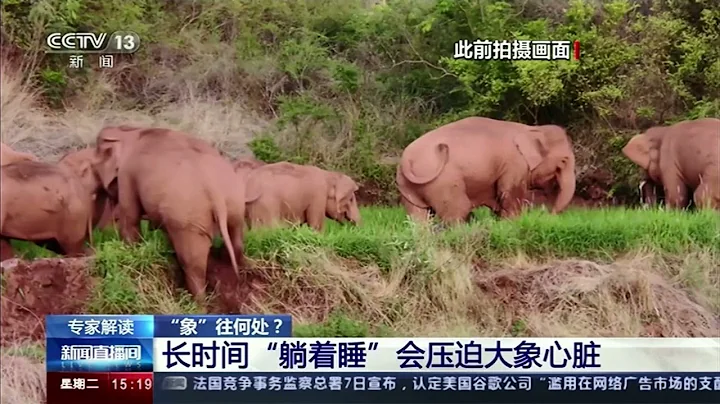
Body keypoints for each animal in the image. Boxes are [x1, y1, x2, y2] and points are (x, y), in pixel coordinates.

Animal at [93, 124, 250, 302]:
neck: (130, 130)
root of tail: (213, 188)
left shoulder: (127, 174)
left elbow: (130, 219)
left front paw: (131, 251)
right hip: (234, 200)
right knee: (236, 237)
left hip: (187, 215)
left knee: (192, 262)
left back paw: (196, 302)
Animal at [396, 117, 576, 224]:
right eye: (564, 161)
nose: (548, 215)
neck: (530, 129)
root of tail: (406, 160)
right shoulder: (514, 163)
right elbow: (510, 195)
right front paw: (513, 223)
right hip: (444, 181)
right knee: (458, 210)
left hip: (408, 187)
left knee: (418, 215)